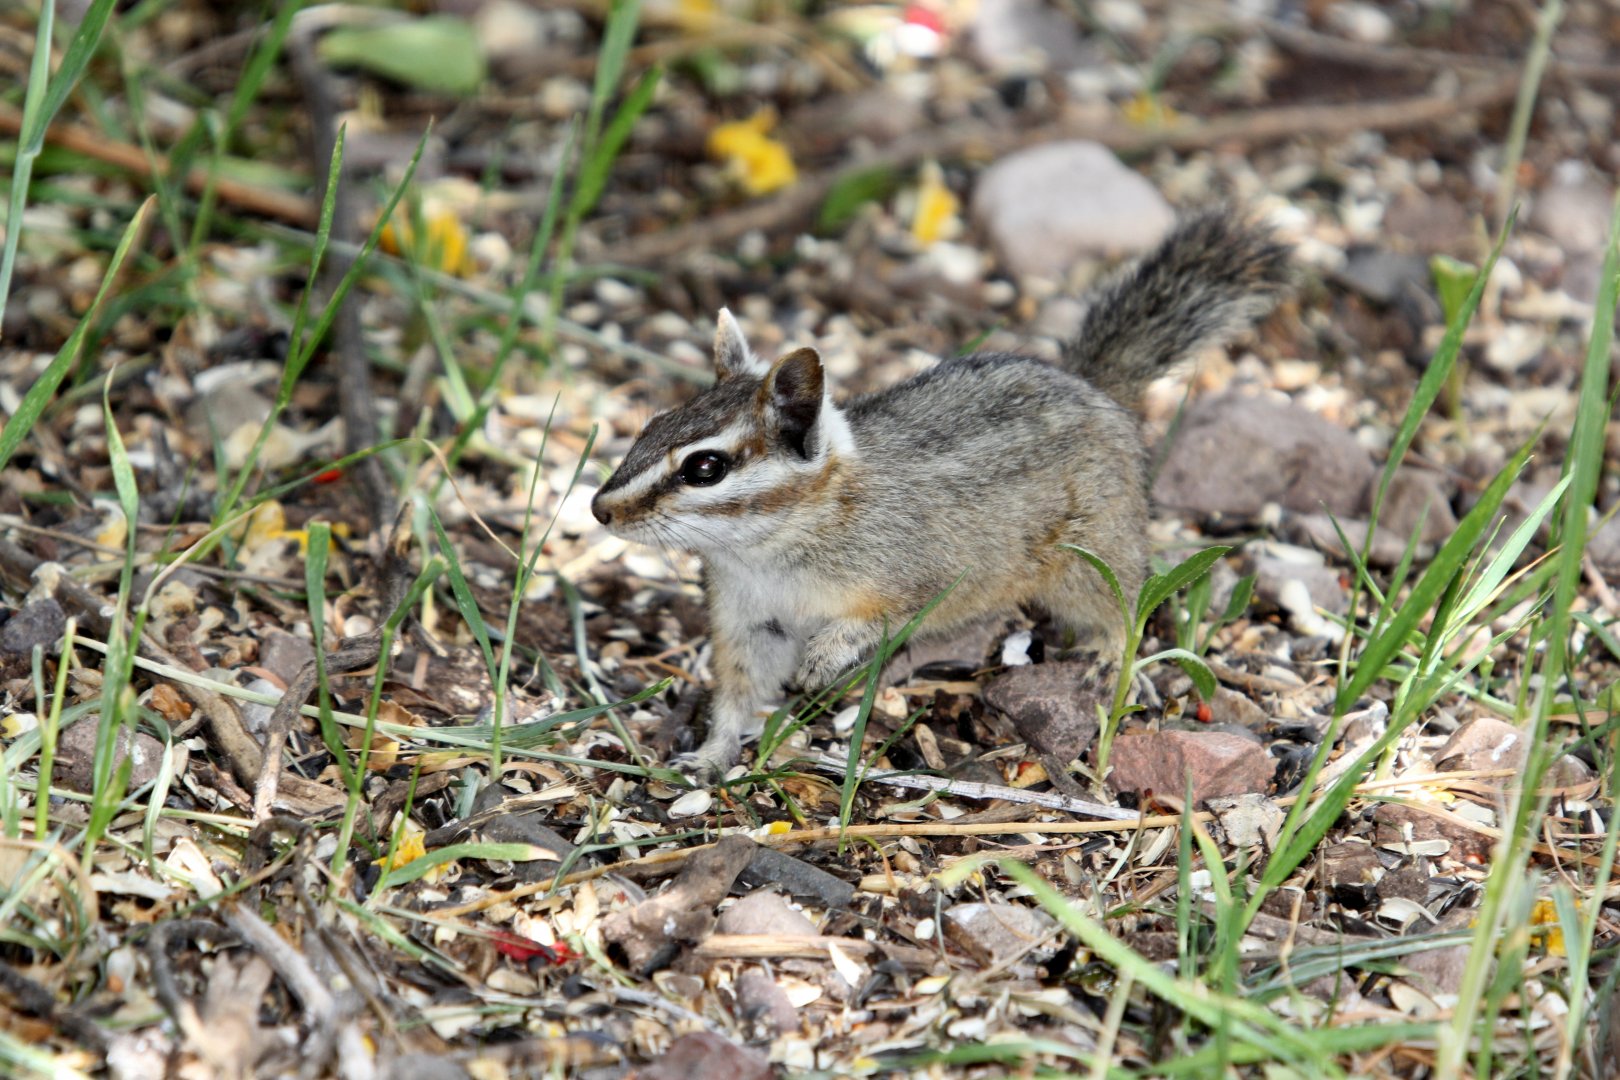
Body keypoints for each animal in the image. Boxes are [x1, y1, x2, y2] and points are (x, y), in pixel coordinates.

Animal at [591, 210, 1292, 781]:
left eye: (705, 468)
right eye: (651, 426)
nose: (601, 509)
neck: (774, 546)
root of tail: (1094, 386)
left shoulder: (917, 574)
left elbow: (883, 616)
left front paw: (824, 659)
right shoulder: (749, 621)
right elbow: (738, 696)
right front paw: (711, 755)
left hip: (1089, 561)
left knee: (1125, 603)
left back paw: (1106, 649)